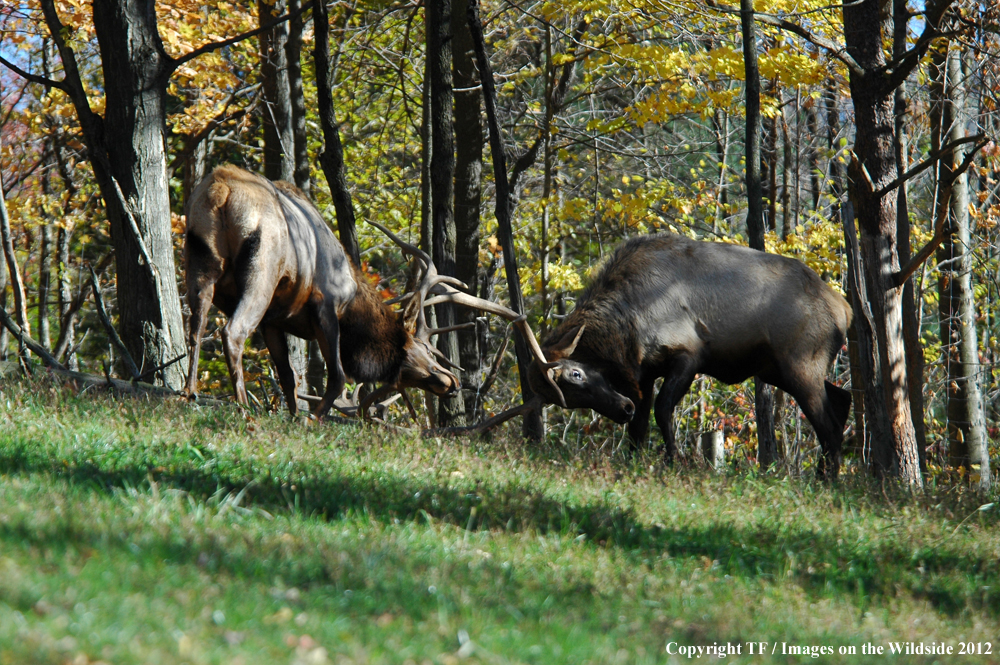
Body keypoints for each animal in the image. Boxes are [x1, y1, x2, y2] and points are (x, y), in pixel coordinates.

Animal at [183, 165, 458, 416]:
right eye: (424, 349)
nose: (451, 381)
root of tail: (220, 191)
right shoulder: (326, 305)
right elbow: (337, 377)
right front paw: (313, 418)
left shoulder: (273, 321)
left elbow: (288, 375)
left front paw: (294, 416)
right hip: (261, 271)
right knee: (233, 331)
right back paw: (243, 407)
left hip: (200, 262)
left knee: (196, 326)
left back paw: (189, 392)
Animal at [520, 233, 856, 478]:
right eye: (567, 401)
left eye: (576, 373)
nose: (622, 409)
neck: (625, 329)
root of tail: (845, 310)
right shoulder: (644, 373)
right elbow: (640, 425)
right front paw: (634, 461)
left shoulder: (689, 354)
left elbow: (662, 409)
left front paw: (674, 459)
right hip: (777, 369)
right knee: (842, 401)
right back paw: (825, 475)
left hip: (800, 364)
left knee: (828, 423)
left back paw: (827, 480)